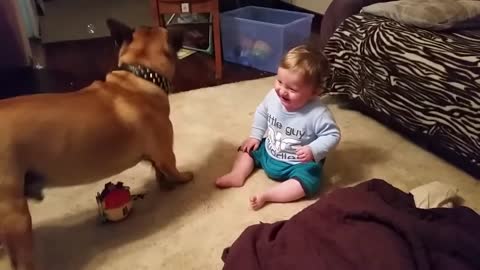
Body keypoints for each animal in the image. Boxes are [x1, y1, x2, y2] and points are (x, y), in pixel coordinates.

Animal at [0, 19, 193, 270]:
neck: (138, 76)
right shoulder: (165, 152)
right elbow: (173, 168)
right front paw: (183, 179)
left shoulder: (157, 155)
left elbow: (159, 170)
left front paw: (165, 185)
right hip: (16, 216)